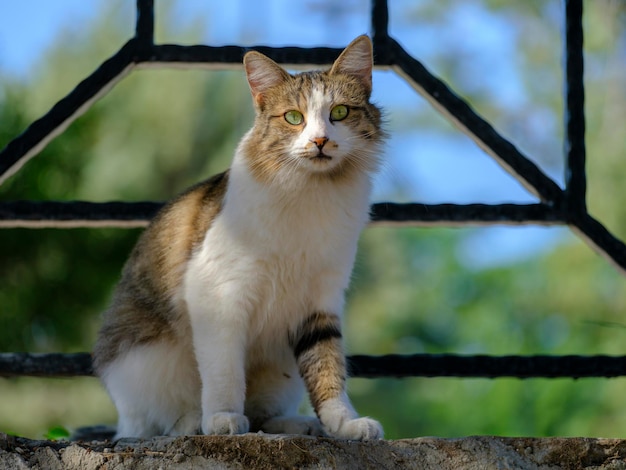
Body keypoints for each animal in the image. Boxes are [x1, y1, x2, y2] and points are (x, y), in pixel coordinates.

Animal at [92, 35, 386, 440]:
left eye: (340, 112)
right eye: (293, 118)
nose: (320, 140)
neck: (311, 191)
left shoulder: (321, 301)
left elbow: (328, 369)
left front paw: (343, 422)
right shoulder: (219, 294)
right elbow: (225, 372)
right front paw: (222, 418)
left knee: (264, 413)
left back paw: (298, 425)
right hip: (144, 365)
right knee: (151, 425)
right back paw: (190, 423)